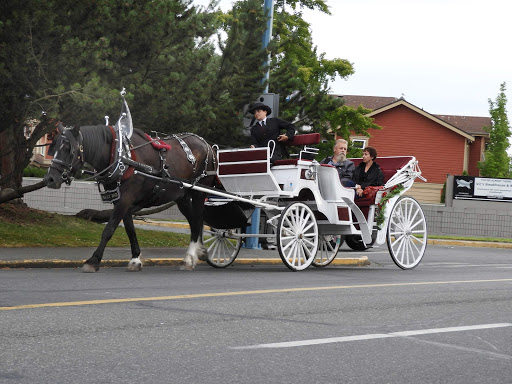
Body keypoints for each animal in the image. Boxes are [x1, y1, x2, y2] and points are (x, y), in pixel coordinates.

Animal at [44, 124, 218, 272]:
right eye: (53, 147)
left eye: (69, 149)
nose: (51, 179)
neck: (122, 157)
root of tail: (208, 146)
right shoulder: (122, 201)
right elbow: (130, 230)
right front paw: (135, 259)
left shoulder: (124, 200)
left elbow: (109, 230)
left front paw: (93, 261)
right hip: (182, 196)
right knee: (194, 222)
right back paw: (198, 252)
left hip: (199, 191)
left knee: (197, 220)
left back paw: (189, 258)